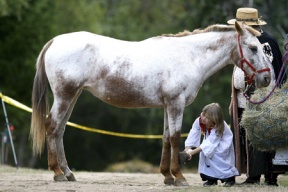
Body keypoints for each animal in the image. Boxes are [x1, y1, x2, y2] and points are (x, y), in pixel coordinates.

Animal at [30, 22, 272, 186]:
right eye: (253, 48)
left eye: (263, 48)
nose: (267, 78)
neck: (189, 56)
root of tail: (55, 41)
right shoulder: (175, 104)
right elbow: (175, 138)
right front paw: (179, 177)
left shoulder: (167, 106)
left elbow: (165, 138)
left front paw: (167, 176)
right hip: (65, 95)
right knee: (52, 126)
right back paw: (57, 173)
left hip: (73, 96)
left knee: (60, 130)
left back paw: (68, 173)